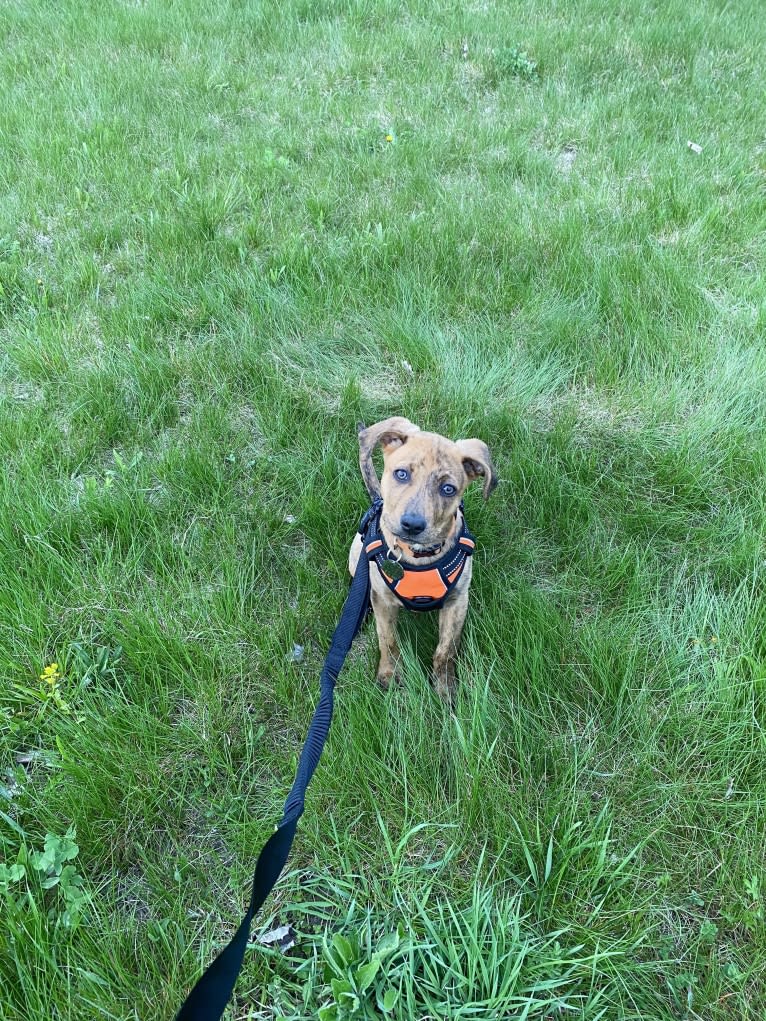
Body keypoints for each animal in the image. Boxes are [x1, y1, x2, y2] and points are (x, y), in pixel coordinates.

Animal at [349, 416, 498, 702]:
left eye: (448, 489)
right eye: (401, 474)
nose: (412, 525)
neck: (417, 554)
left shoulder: (457, 602)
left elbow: (445, 651)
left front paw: (444, 688)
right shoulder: (384, 601)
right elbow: (388, 640)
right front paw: (389, 675)